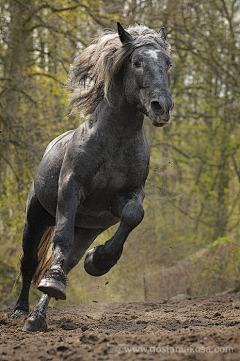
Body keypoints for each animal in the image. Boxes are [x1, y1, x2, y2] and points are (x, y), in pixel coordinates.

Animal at [11, 23, 173, 332]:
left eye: (168, 63)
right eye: (136, 62)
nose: (162, 107)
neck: (115, 140)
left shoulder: (124, 197)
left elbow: (133, 215)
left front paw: (99, 260)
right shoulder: (71, 190)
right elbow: (60, 239)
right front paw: (52, 281)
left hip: (86, 229)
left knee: (68, 261)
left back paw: (40, 313)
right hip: (36, 216)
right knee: (30, 261)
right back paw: (21, 311)